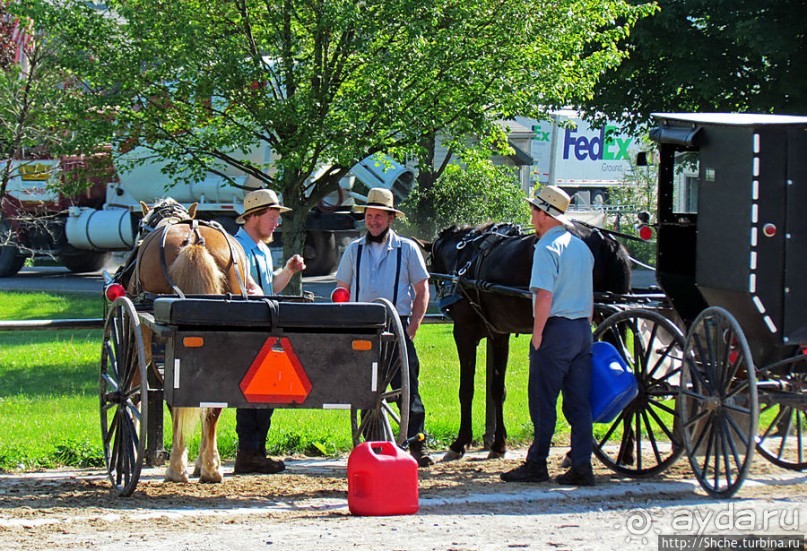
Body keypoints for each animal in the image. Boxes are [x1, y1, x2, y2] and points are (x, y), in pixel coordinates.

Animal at [129, 198, 249, 484]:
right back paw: (211, 468)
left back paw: (175, 468)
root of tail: (194, 239)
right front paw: (201, 463)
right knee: (214, 403)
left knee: (177, 400)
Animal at [432, 221, 636, 462]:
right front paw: (498, 444)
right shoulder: (499, 335)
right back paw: (626, 449)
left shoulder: (464, 332)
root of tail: (606, 240)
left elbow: (466, 389)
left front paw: (460, 442)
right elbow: (497, 390)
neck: (465, 255)